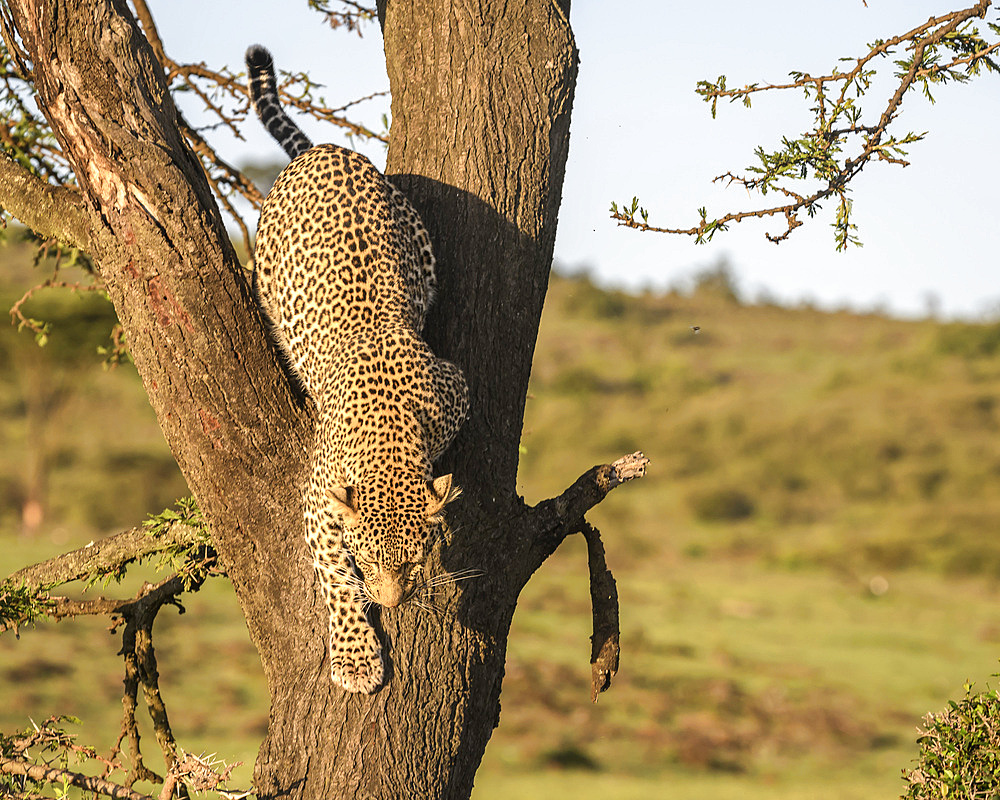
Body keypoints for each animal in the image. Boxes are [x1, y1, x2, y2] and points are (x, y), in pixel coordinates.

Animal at [248, 45, 470, 692]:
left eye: (415, 559)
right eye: (366, 557)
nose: (394, 603)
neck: (392, 431)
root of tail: (324, 149)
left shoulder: (456, 387)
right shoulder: (318, 499)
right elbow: (334, 580)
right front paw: (355, 657)